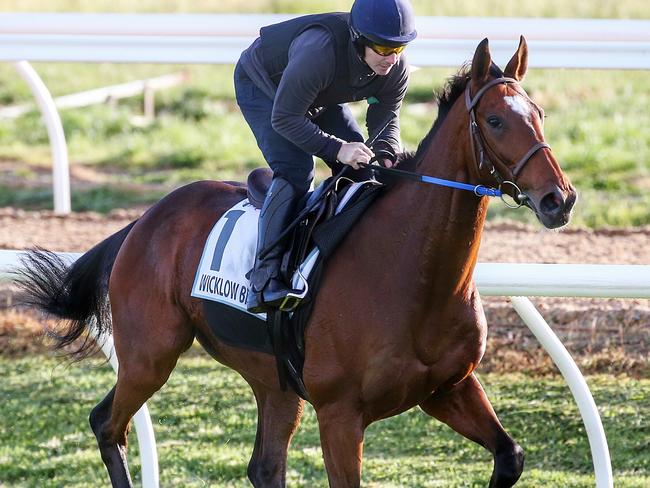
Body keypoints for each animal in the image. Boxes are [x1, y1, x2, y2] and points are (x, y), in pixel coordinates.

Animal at [20, 39, 576, 488]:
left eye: (541, 114)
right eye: (496, 121)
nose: (559, 199)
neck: (416, 276)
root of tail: (144, 220)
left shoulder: (448, 387)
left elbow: (510, 456)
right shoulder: (340, 413)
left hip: (273, 379)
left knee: (263, 467)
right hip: (149, 354)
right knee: (106, 424)